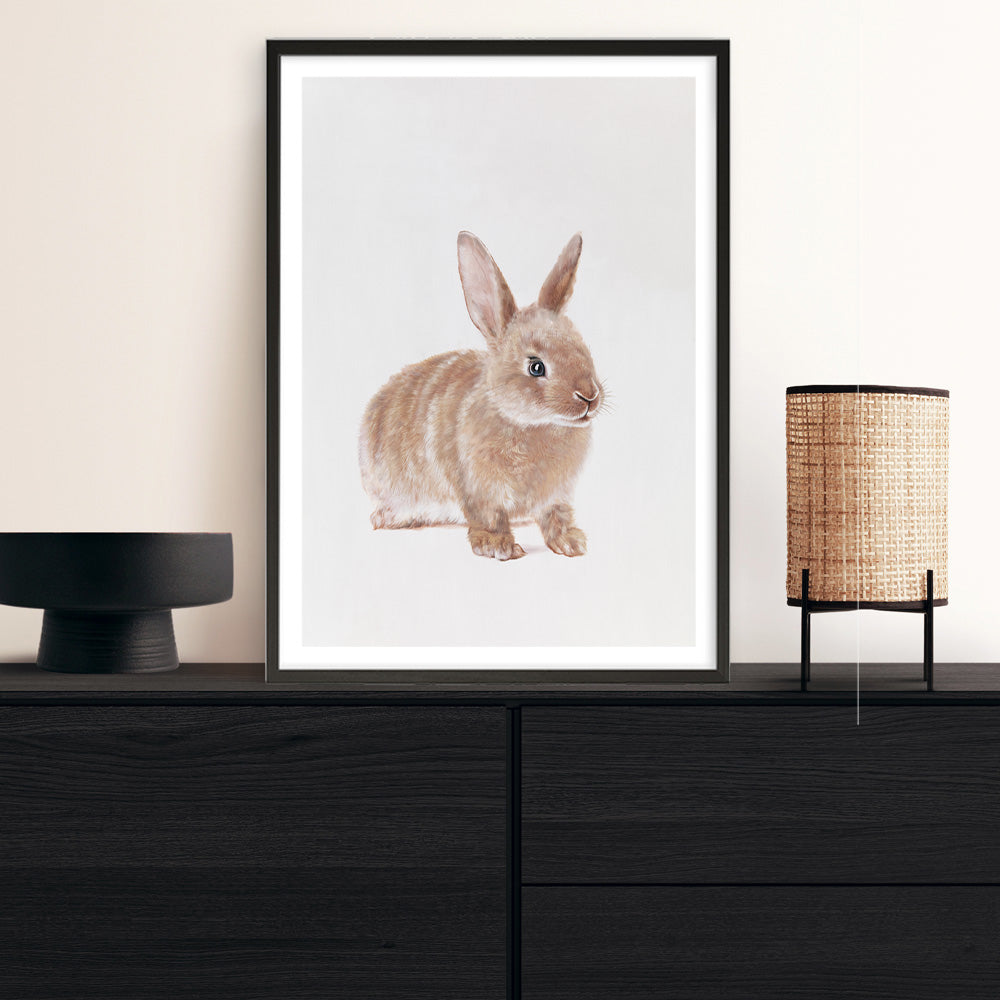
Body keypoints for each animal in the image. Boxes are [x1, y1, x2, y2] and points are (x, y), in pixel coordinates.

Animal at [359, 231, 604, 561]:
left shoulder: (556, 496)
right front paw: (498, 546)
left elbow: (556, 516)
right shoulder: (479, 489)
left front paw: (571, 543)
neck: (530, 423)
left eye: (583, 348)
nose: (590, 396)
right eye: (536, 367)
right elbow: (489, 517)